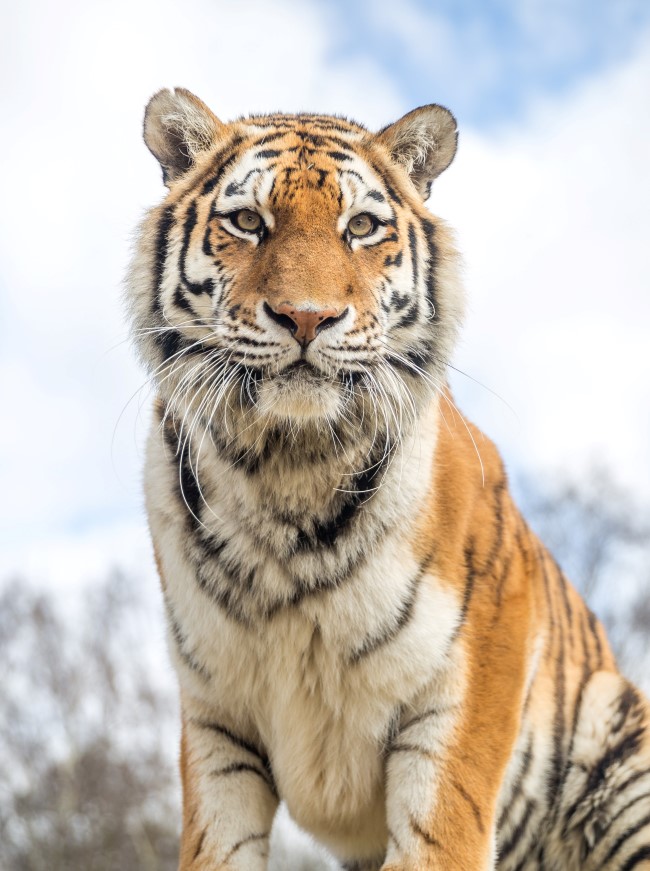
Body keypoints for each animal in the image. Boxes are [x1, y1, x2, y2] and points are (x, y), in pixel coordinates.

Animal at [125, 90, 648, 871]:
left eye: (362, 227)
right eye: (248, 222)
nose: (306, 317)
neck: (287, 468)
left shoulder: (469, 685)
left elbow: (440, 837)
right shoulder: (216, 719)